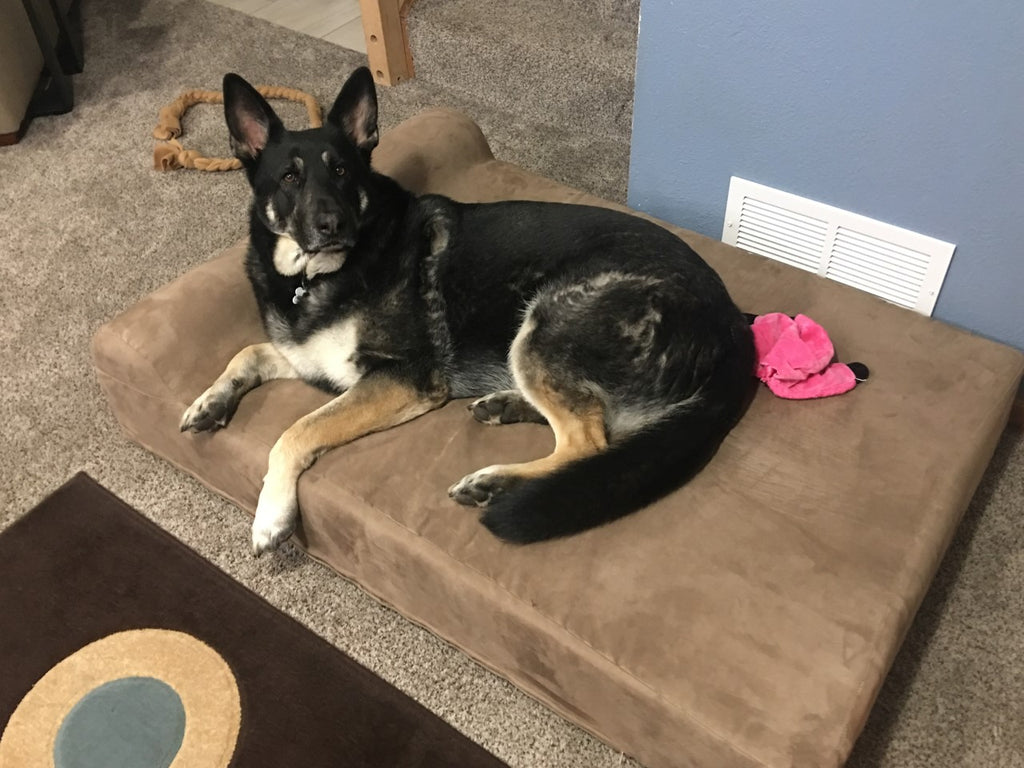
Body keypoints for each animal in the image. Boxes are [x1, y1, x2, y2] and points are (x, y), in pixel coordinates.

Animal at [178, 69, 753, 557]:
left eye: (341, 172)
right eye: (289, 178)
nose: (332, 225)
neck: (313, 278)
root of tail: (733, 323)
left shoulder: (402, 377)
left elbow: (295, 430)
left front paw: (271, 514)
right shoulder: (306, 354)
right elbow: (247, 351)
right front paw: (209, 400)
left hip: (545, 324)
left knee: (590, 444)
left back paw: (496, 481)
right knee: (596, 426)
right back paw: (505, 408)